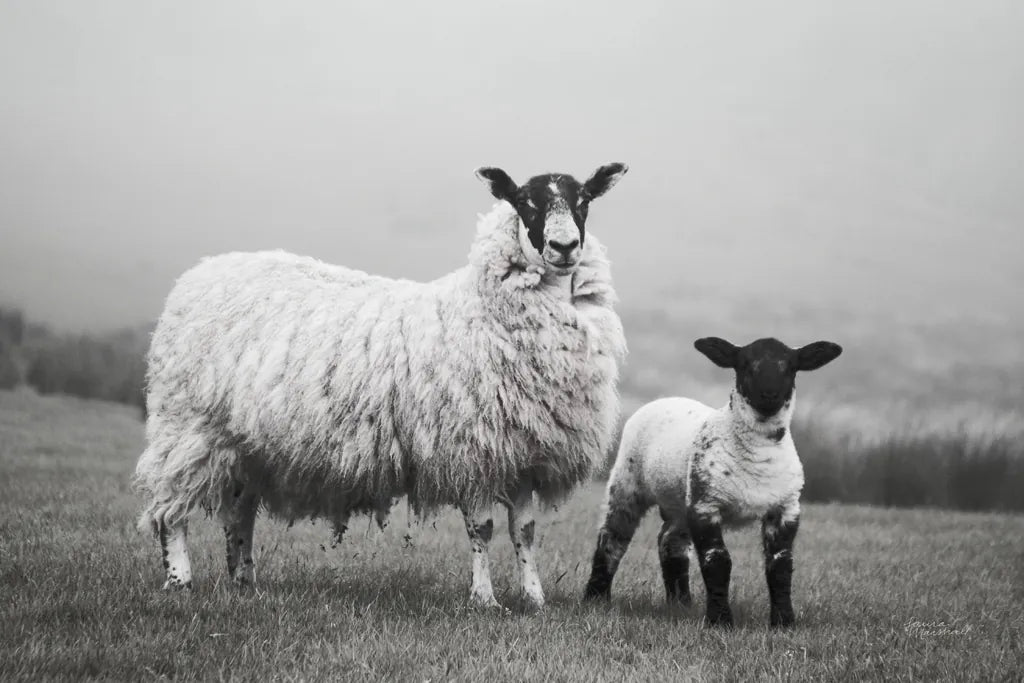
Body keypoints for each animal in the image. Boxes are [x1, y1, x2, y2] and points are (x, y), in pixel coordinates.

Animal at [134, 163, 629, 610]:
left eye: (584, 200)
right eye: (525, 202)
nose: (564, 246)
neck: (480, 308)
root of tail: (199, 273)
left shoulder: (524, 455)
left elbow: (523, 531)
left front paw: (534, 599)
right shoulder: (471, 450)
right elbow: (483, 529)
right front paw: (485, 600)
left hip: (247, 444)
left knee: (239, 513)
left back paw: (243, 581)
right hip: (188, 426)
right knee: (170, 507)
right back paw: (180, 580)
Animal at [583, 336, 842, 627]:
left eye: (790, 367)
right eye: (744, 364)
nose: (769, 395)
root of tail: (666, 398)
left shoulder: (786, 509)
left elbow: (780, 564)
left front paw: (784, 622)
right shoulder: (706, 505)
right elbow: (717, 561)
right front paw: (720, 620)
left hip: (680, 501)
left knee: (670, 541)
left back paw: (680, 603)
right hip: (628, 483)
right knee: (612, 539)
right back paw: (596, 598)